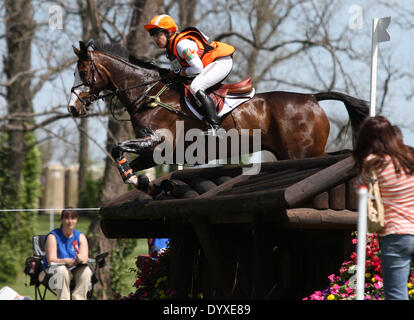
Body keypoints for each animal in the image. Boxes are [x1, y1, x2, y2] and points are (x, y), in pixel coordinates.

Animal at [68, 41, 368, 189]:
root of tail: (312, 98)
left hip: (303, 153)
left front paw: (133, 178)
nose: (72, 107)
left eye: (82, 72)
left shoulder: (159, 141)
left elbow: (117, 147)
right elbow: (127, 159)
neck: (148, 94)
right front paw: (138, 180)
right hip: (295, 154)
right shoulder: (154, 152)